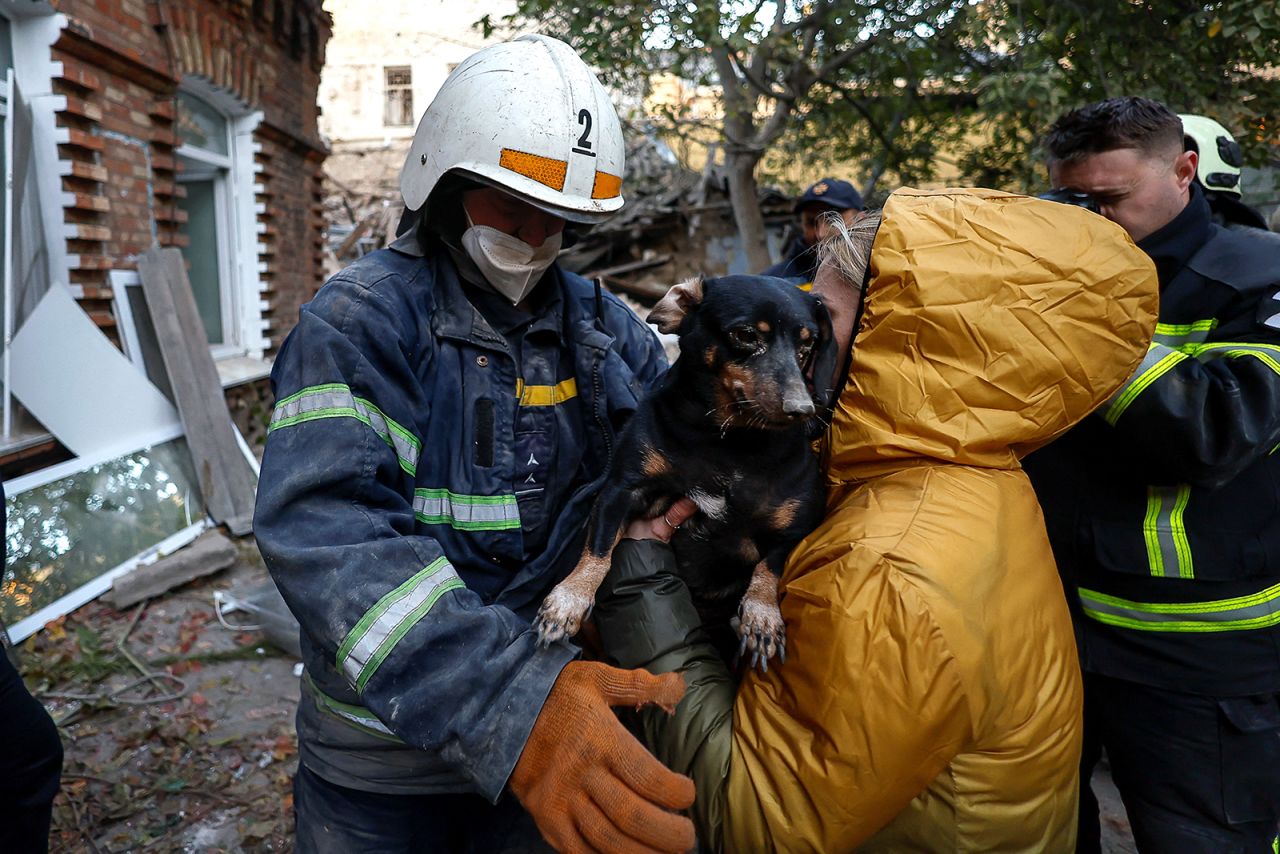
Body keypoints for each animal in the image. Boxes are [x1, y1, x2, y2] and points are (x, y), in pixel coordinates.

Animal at [534, 274, 839, 670]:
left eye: (808, 344)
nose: (802, 409)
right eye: (745, 334)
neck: (731, 443)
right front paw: (568, 600)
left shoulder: (798, 525)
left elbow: (769, 567)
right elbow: (598, 551)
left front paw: (762, 617)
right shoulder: (621, 491)